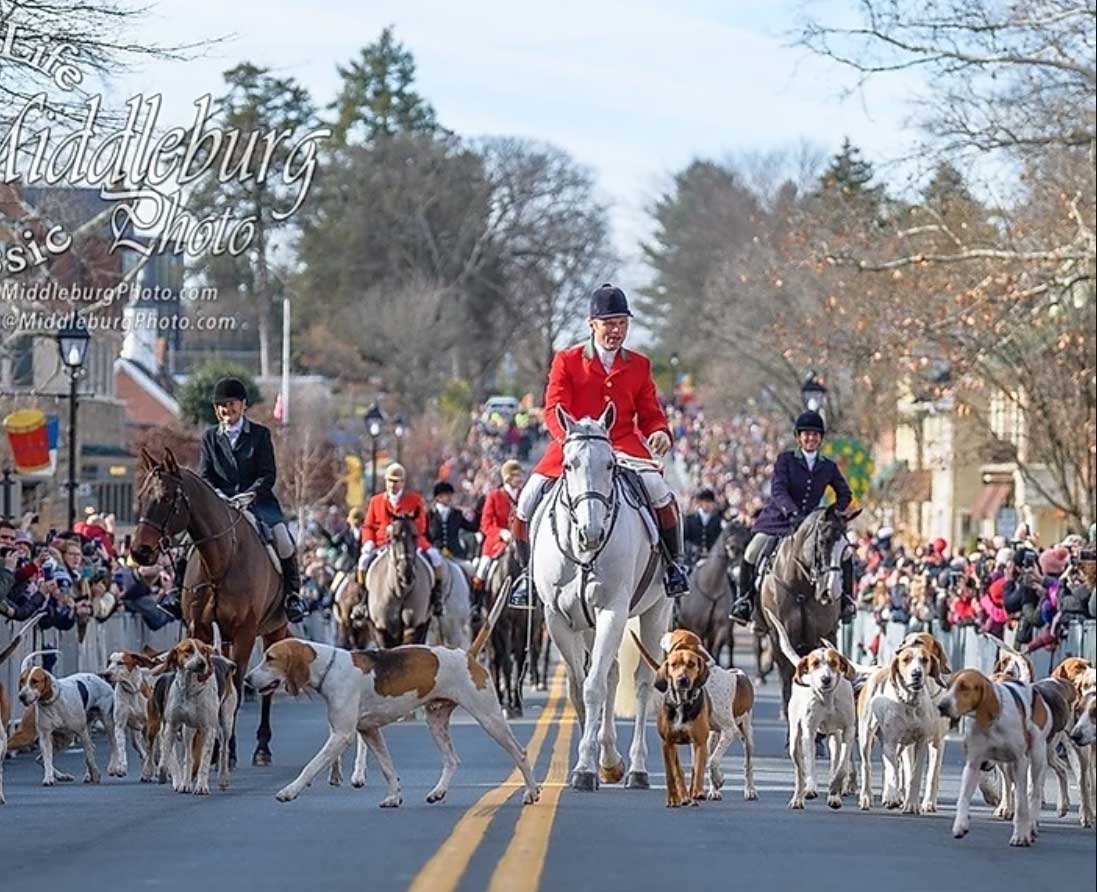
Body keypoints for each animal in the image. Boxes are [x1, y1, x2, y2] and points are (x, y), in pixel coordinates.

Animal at [128, 449, 289, 763]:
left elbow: (236, 688)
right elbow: (207, 682)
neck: (221, 560)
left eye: (166, 497)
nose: (139, 552)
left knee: (267, 687)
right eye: (140, 495)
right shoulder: (198, 628)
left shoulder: (245, 633)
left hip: (274, 628)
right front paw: (208, 749)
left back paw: (262, 748)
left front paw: (228, 750)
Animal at [528, 408, 671, 789]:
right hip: (591, 625)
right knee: (611, 674)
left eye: (609, 465)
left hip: (656, 612)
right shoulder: (558, 619)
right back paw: (610, 761)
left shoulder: (612, 611)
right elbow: (582, 687)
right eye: (568, 465)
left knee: (642, 683)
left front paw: (584, 768)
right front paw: (591, 760)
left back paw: (636, 769)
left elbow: (593, 688)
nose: (590, 533)